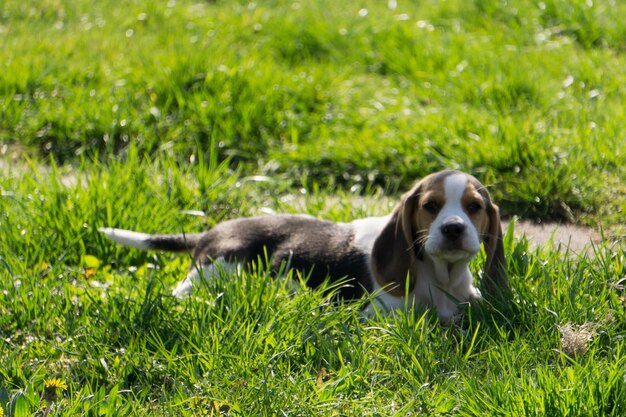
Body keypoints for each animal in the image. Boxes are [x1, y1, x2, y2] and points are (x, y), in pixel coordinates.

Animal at [98, 169, 508, 322]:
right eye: (430, 206)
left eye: (474, 207)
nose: (453, 228)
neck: (442, 278)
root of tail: (209, 234)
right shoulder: (381, 314)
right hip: (217, 271)